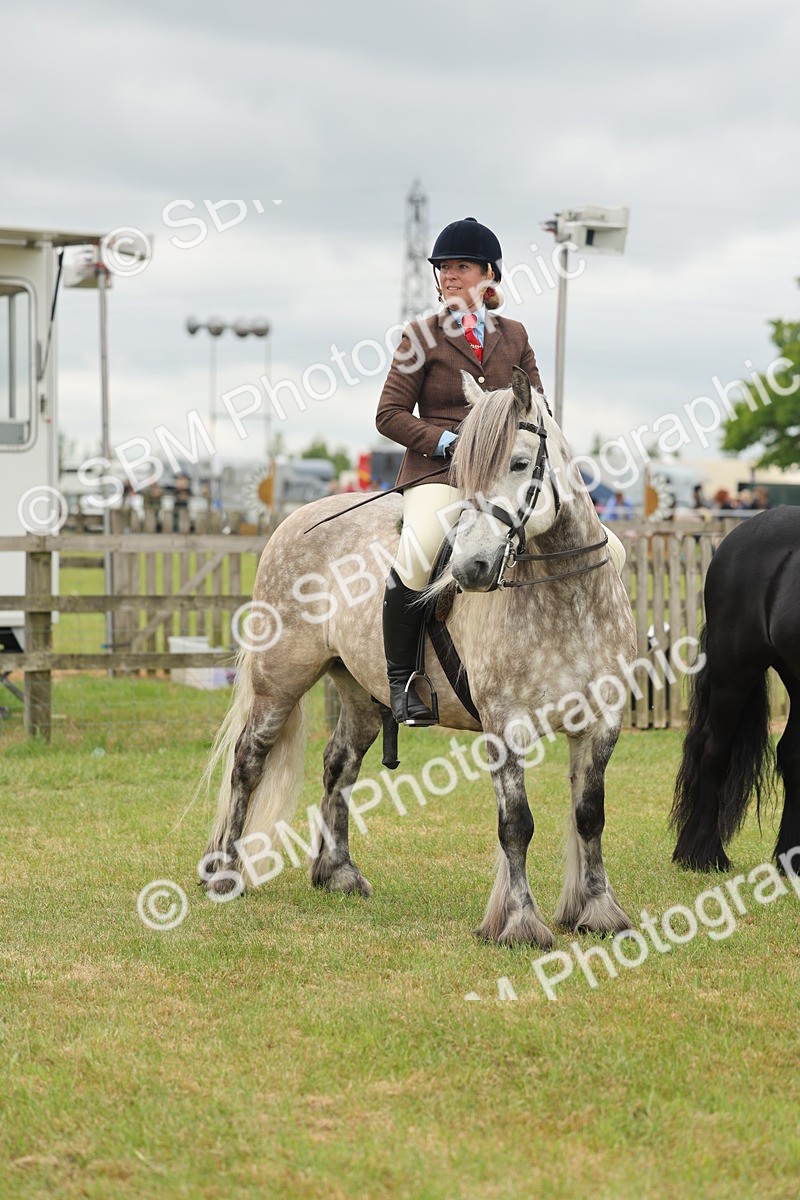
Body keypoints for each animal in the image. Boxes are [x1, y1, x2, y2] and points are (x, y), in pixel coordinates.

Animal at [200, 367, 637, 948]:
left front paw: (599, 912)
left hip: (361, 692)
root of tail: (294, 520)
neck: (566, 599)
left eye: (520, 463)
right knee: (249, 761)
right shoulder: (506, 725)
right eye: (463, 470)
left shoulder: (601, 721)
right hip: (281, 680)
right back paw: (225, 874)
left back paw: (338, 872)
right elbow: (516, 825)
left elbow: (589, 815)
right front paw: (519, 923)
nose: (472, 568)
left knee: (339, 764)